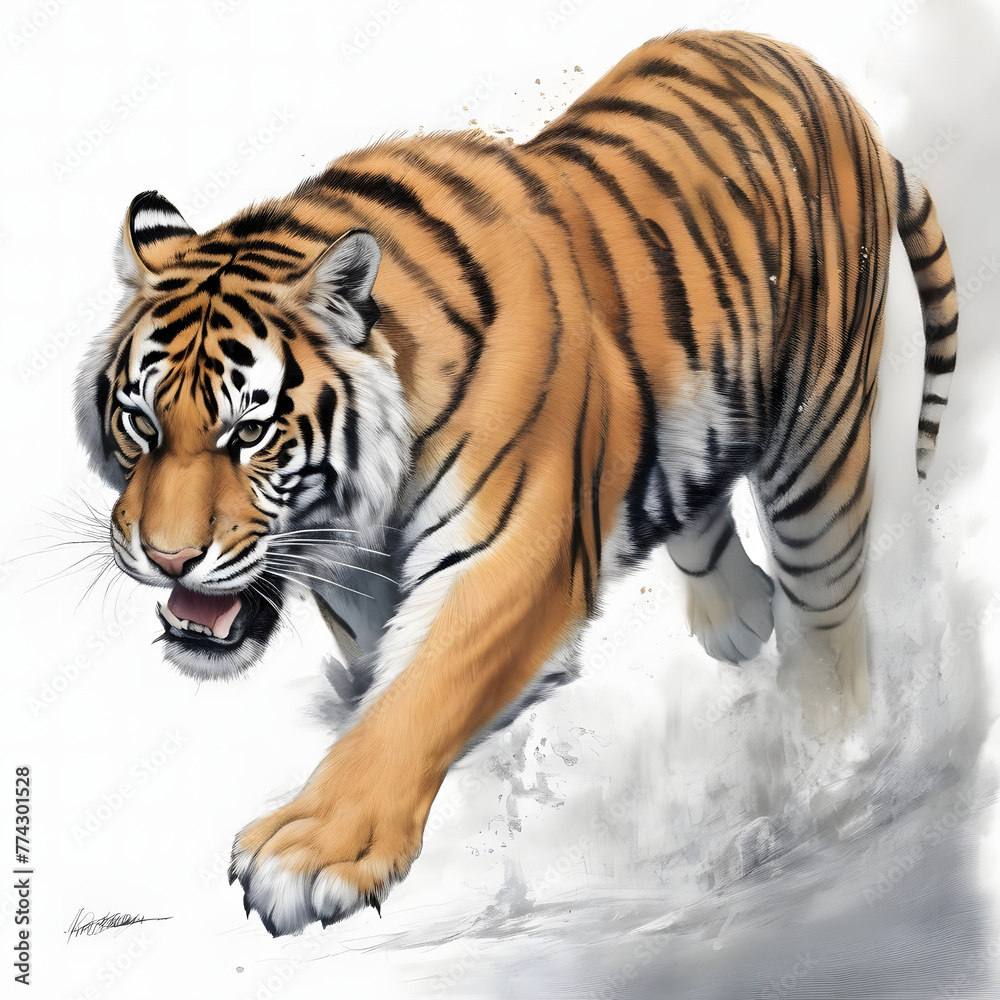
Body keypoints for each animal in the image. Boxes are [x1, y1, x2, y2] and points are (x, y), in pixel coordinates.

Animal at [74, 28, 957, 936]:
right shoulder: (360, 583)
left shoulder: (512, 554)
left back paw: (833, 764)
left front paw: (310, 853)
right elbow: (386, 686)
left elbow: (420, 695)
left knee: (825, 608)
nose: (167, 559)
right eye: (140, 422)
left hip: (822, 437)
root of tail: (818, 76)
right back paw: (738, 619)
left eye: (248, 433)